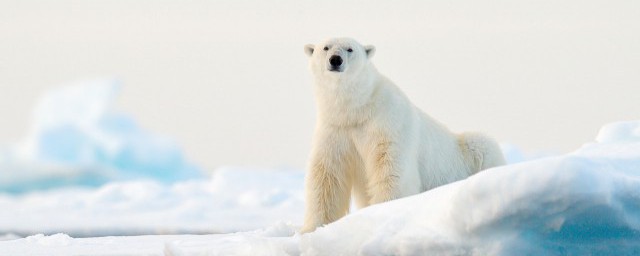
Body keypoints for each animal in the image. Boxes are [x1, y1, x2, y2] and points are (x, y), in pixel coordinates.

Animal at [300, 37, 504, 232]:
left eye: (350, 49)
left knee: (482, 146)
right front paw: (311, 228)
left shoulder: (387, 121)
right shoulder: (335, 129)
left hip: (470, 152)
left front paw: (385, 210)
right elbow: (327, 175)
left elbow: (390, 166)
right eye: (326, 47)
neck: (358, 109)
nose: (335, 60)